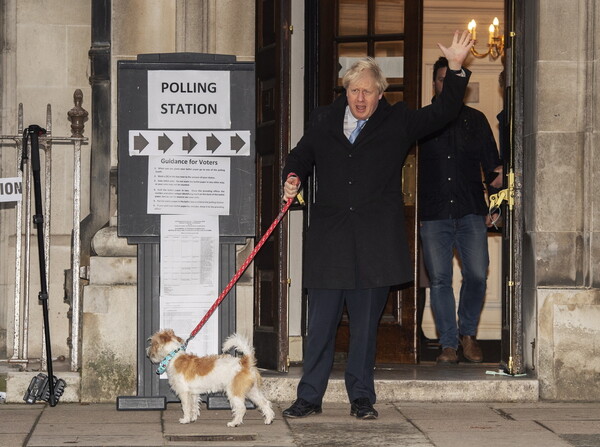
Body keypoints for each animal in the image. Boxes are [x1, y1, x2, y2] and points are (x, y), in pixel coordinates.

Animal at [146, 328, 276, 428]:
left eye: (153, 343)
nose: (147, 352)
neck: (173, 356)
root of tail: (244, 362)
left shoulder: (184, 393)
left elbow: (186, 407)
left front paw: (185, 420)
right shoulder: (193, 394)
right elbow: (194, 406)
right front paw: (192, 418)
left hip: (234, 392)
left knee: (241, 408)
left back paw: (234, 423)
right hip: (252, 392)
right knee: (265, 403)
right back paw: (268, 420)